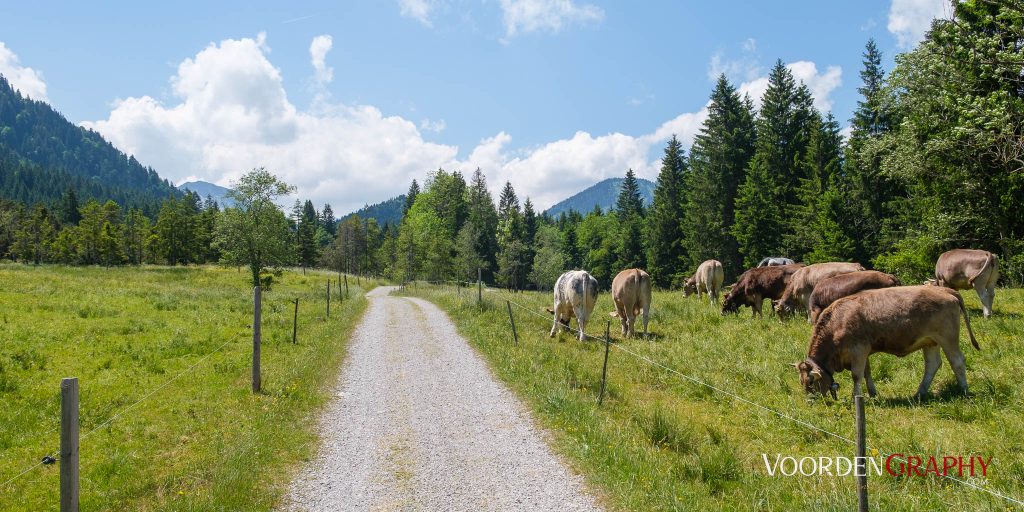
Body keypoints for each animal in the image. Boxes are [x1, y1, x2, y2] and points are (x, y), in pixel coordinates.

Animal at [794, 284, 978, 399]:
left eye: (810, 381)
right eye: (801, 381)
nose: (810, 400)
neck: (837, 321)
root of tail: (946, 290)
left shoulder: (858, 350)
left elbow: (856, 375)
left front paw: (856, 396)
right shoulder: (864, 351)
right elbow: (867, 373)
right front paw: (872, 393)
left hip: (948, 338)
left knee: (957, 361)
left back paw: (964, 390)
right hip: (930, 341)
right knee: (932, 365)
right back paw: (919, 393)